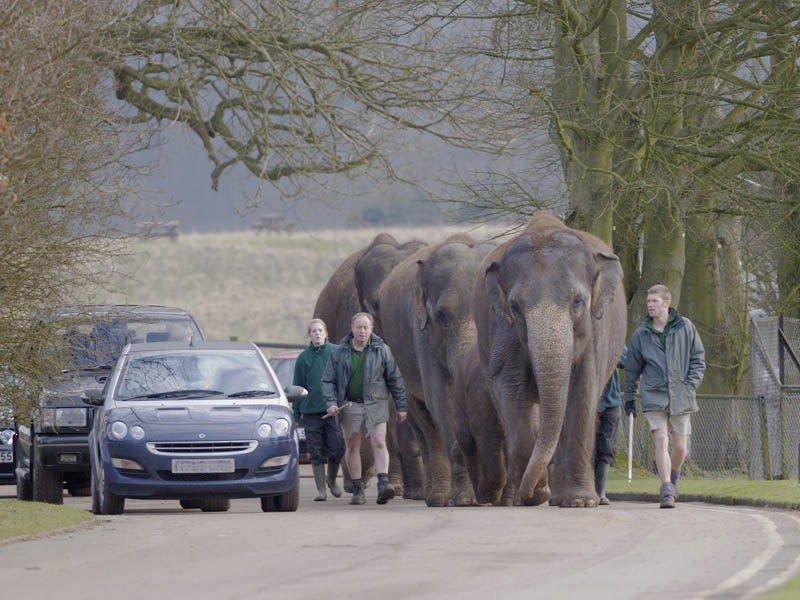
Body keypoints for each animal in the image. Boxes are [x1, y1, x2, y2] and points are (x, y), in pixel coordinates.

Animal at [378, 233, 496, 507]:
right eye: (441, 317)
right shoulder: (422, 334)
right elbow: (442, 399)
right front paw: (466, 500)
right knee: (424, 425)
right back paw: (436, 497)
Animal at [473, 211, 626, 507]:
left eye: (578, 302)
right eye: (515, 307)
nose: (531, 491)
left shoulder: (595, 329)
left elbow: (583, 390)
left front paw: (578, 502)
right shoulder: (503, 328)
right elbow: (510, 386)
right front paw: (536, 494)